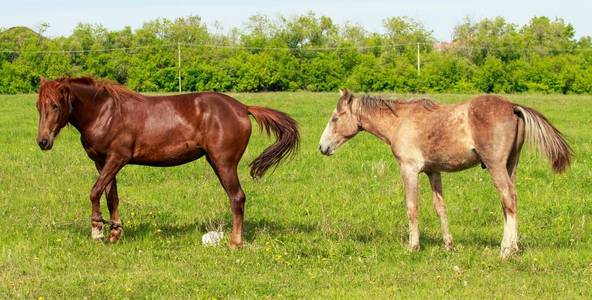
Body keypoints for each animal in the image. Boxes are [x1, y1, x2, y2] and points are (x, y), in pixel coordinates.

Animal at [34, 76, 298, 247]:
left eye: (55, 105)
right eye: (38, 106)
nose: (43, 141)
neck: (105, 113)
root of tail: (243, 107)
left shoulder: (117, 159)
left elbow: (94, 191)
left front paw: (97, 231)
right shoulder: (103, 163)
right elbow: (111, 197)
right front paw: (115, 234)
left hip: (223, 164)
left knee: (237, 198)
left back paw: (235, 242)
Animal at [320, 89, 572, 258]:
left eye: (335, 118)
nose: (322, 147)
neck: (401, 121)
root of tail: (512, 106)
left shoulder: (409, 170)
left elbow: (412, 207)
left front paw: (413, 246)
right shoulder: (433, 172)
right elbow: (440, 207)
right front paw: (449, 245)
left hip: (496, 167)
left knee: (509, 199)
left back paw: (506, 250)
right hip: (511, 166)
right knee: (508, 203)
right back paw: (512, 246)